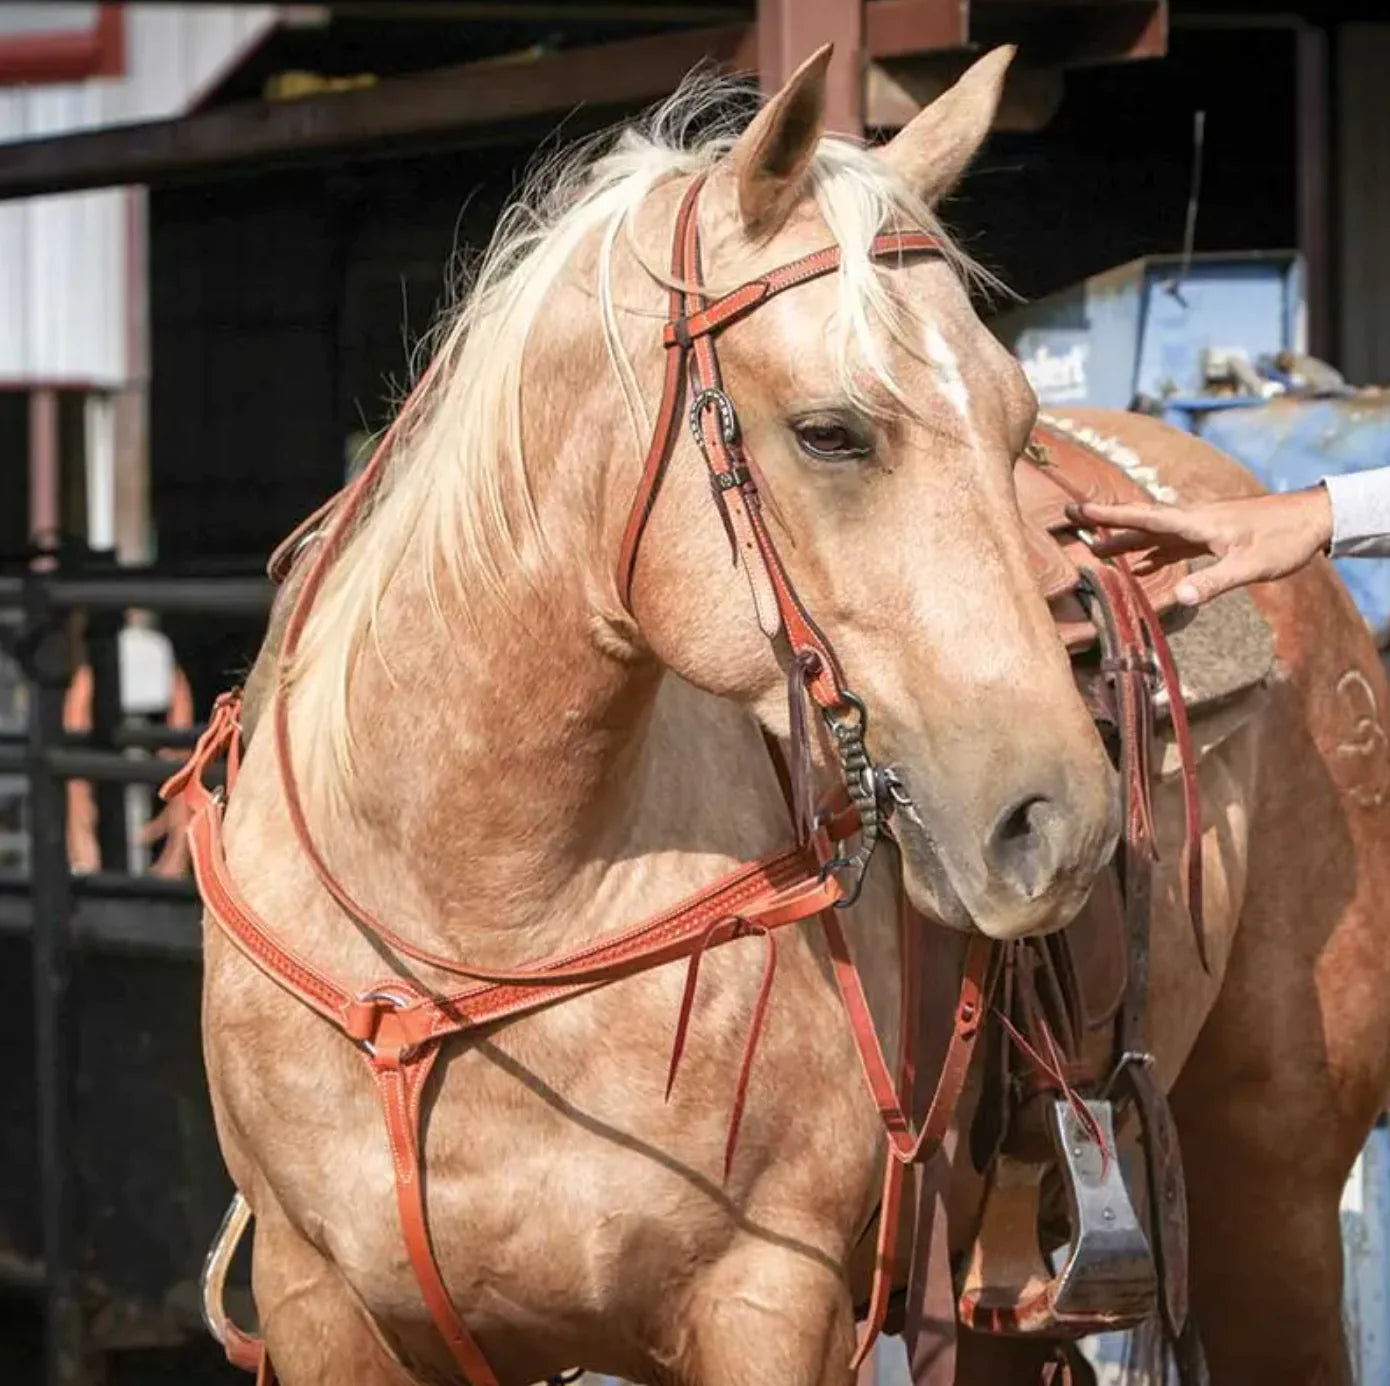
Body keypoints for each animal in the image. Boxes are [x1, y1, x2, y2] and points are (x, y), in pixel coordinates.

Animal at [190, 43, 1390, 1384]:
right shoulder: (317, 1304)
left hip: (1274, 1192)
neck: (471, 928)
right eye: (830, 433)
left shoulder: (770, 1303)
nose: (1060, 824)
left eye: (1018, 419)